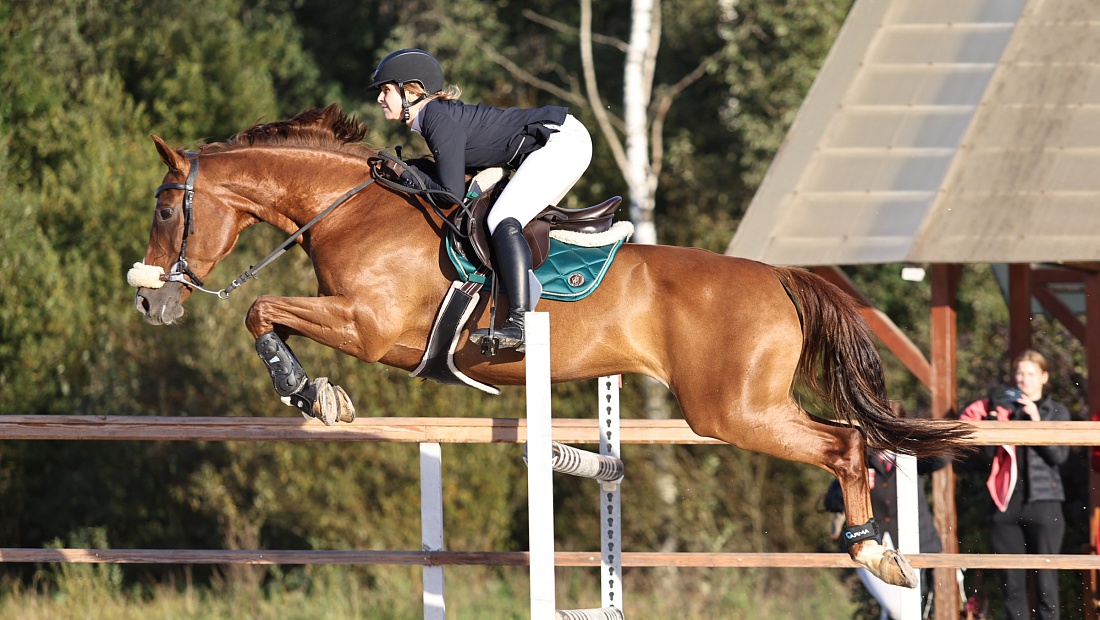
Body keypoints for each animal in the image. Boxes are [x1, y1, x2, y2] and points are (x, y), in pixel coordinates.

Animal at [130, 103, 972, 589]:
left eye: (167, 210)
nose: (149, 298)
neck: (350, 207)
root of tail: (778, 277)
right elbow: (268, 312)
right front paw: (315, 392)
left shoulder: (369, 327)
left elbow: (260, 310)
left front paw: (311, 393)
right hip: (746, 406)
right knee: (853, 438)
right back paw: (880, 548)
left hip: (733, 410)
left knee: (845, 445)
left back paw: (871, 551)